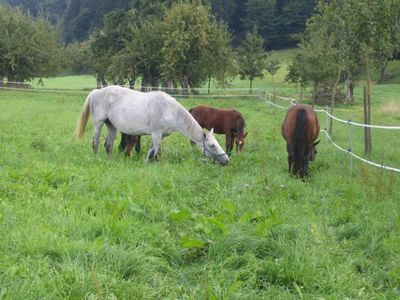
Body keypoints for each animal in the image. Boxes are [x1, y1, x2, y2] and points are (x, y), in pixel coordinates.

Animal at [76, 85, 230, 164]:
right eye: (212, 145)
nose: (226, 160)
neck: (169, 110)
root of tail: (96, 91)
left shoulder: (159, 135)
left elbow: (151, 151)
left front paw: (146, 163)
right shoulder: (156, 134)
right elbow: (157, 152)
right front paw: (158, 165)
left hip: (111, 126)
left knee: (108, 144)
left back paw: (111, 160)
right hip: (99, 123)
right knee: (95, 142)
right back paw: (96, 158)